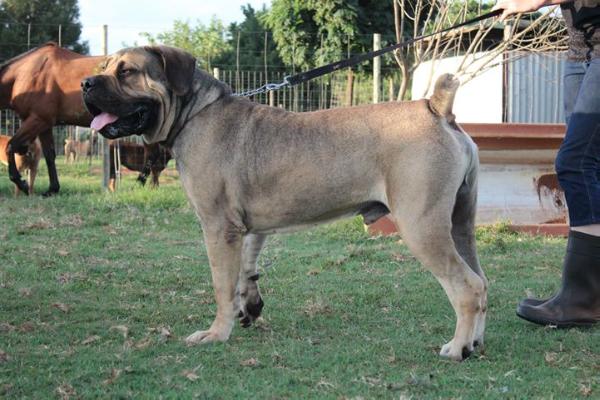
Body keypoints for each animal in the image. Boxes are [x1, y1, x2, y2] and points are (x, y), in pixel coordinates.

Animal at [0, 42, 105, 195]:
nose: (24, 150)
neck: (25, 73)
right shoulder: (45, 125)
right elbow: (49, 155)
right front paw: (52, 189)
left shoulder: (38, 120)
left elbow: (10, 146)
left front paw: (22, 184)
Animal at [82, 45, 486, 360]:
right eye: (104, 68)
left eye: (127, 71)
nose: (86, 83)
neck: (194, 112)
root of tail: (436, 107)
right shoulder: (247, 228)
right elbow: (246, 269)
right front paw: (249, 306)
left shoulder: (218, 227)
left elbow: (221, 286)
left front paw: (216, 333)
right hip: (458, 225)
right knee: (481, 283)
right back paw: (474, 341)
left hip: (422, 226)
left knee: (466, 287)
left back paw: (457, 348)